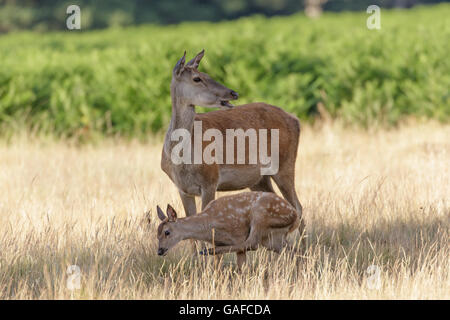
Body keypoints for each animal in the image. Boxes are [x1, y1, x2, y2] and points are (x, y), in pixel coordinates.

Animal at [156, 191, 300, 268]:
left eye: (167, 232)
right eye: (156, 234)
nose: (159, 251)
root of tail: (295, 216)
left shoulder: (238, 234)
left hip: (260, 213)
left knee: (252, 243)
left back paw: (206, 251)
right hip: (273, 239)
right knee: (292, 250)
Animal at [160, 49, 304, 240]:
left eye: (207, 74)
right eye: (197, 78)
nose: (233, 93)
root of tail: (296, 120)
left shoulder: (210, 179)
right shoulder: (182, 188)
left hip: (285, 163)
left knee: (298, 207)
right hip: (259, 178)